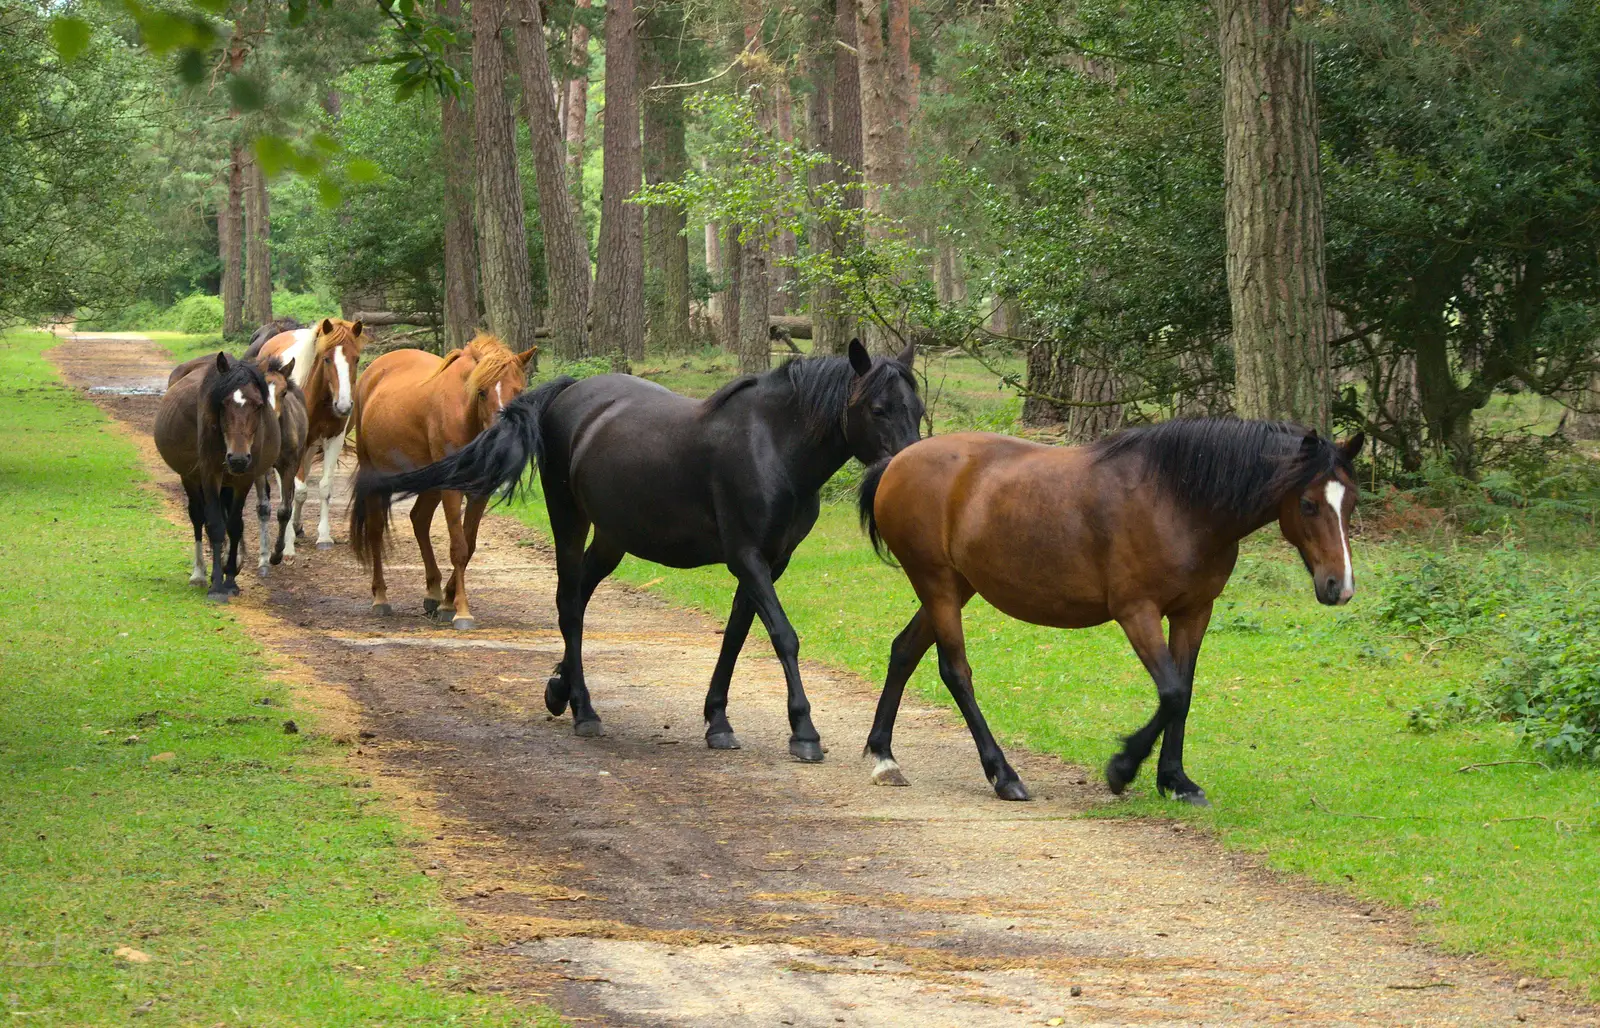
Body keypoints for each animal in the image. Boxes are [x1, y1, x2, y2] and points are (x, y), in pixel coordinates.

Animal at [152, 353, 281, 602]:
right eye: (223, 404)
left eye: (259, 405)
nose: (238, 459)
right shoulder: (210, 475)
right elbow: (214, 525)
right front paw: (217, 586)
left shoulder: (244, 479)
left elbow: (234, 525)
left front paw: (230, 580)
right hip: (190, 477)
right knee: (197, 517)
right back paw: (200, 574)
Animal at [254, 317, 364, 547]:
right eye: (326, 359)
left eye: (356, 359)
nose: (343, 406)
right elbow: (296, 491)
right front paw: (288, 538)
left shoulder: (333, 440)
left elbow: (324, 488)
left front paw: (324, 536)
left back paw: (298, 525)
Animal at [355, 339, 921, 755]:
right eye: (877, 408)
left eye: (915, 408)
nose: (908, 469)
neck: (773, 446)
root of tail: (567, 393)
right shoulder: (747, 558)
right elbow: (783, 636)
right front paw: (803, 731)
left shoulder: (770, 563)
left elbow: (736, 637)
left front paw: (718, 720)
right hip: (569, 520)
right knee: (569, 605)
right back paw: (584, 709)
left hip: (611, 539)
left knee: (579, 598)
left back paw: (561, 688)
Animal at [857, 416, 1369, 800]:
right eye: (1308, 504)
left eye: (1351, 502)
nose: (1339, 586)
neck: (1178, 501)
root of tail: (896, 461)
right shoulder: (1136, 612)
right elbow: (1171, 693)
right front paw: (1122, 768)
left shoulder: (1193, 612)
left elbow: (1184, 692)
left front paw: (1176, 781)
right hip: (938, 585)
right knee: (955, 672)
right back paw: (1004, 776)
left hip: (954, 587)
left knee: (904, 651)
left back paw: (884, 757)